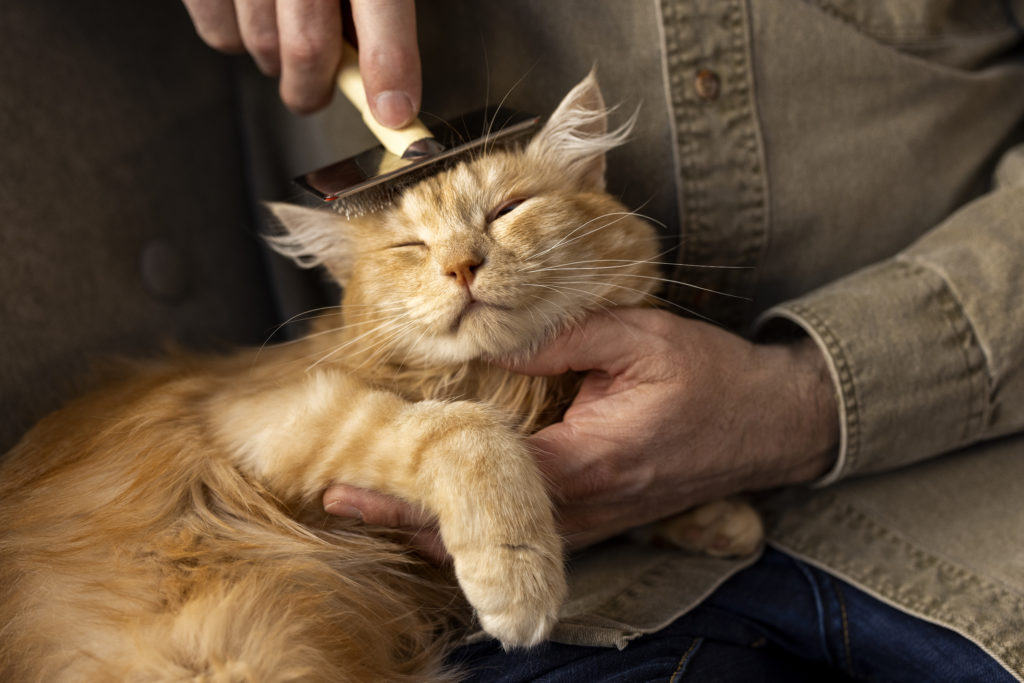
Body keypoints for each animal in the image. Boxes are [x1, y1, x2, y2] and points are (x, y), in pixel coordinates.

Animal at [2, 72, 761, 679]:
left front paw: (715, 518)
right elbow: (465, 434)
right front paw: (517, 576)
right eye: (410, 246)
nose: (461, 265)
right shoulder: (276, 412)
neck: (505, 385)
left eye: (506, 210)